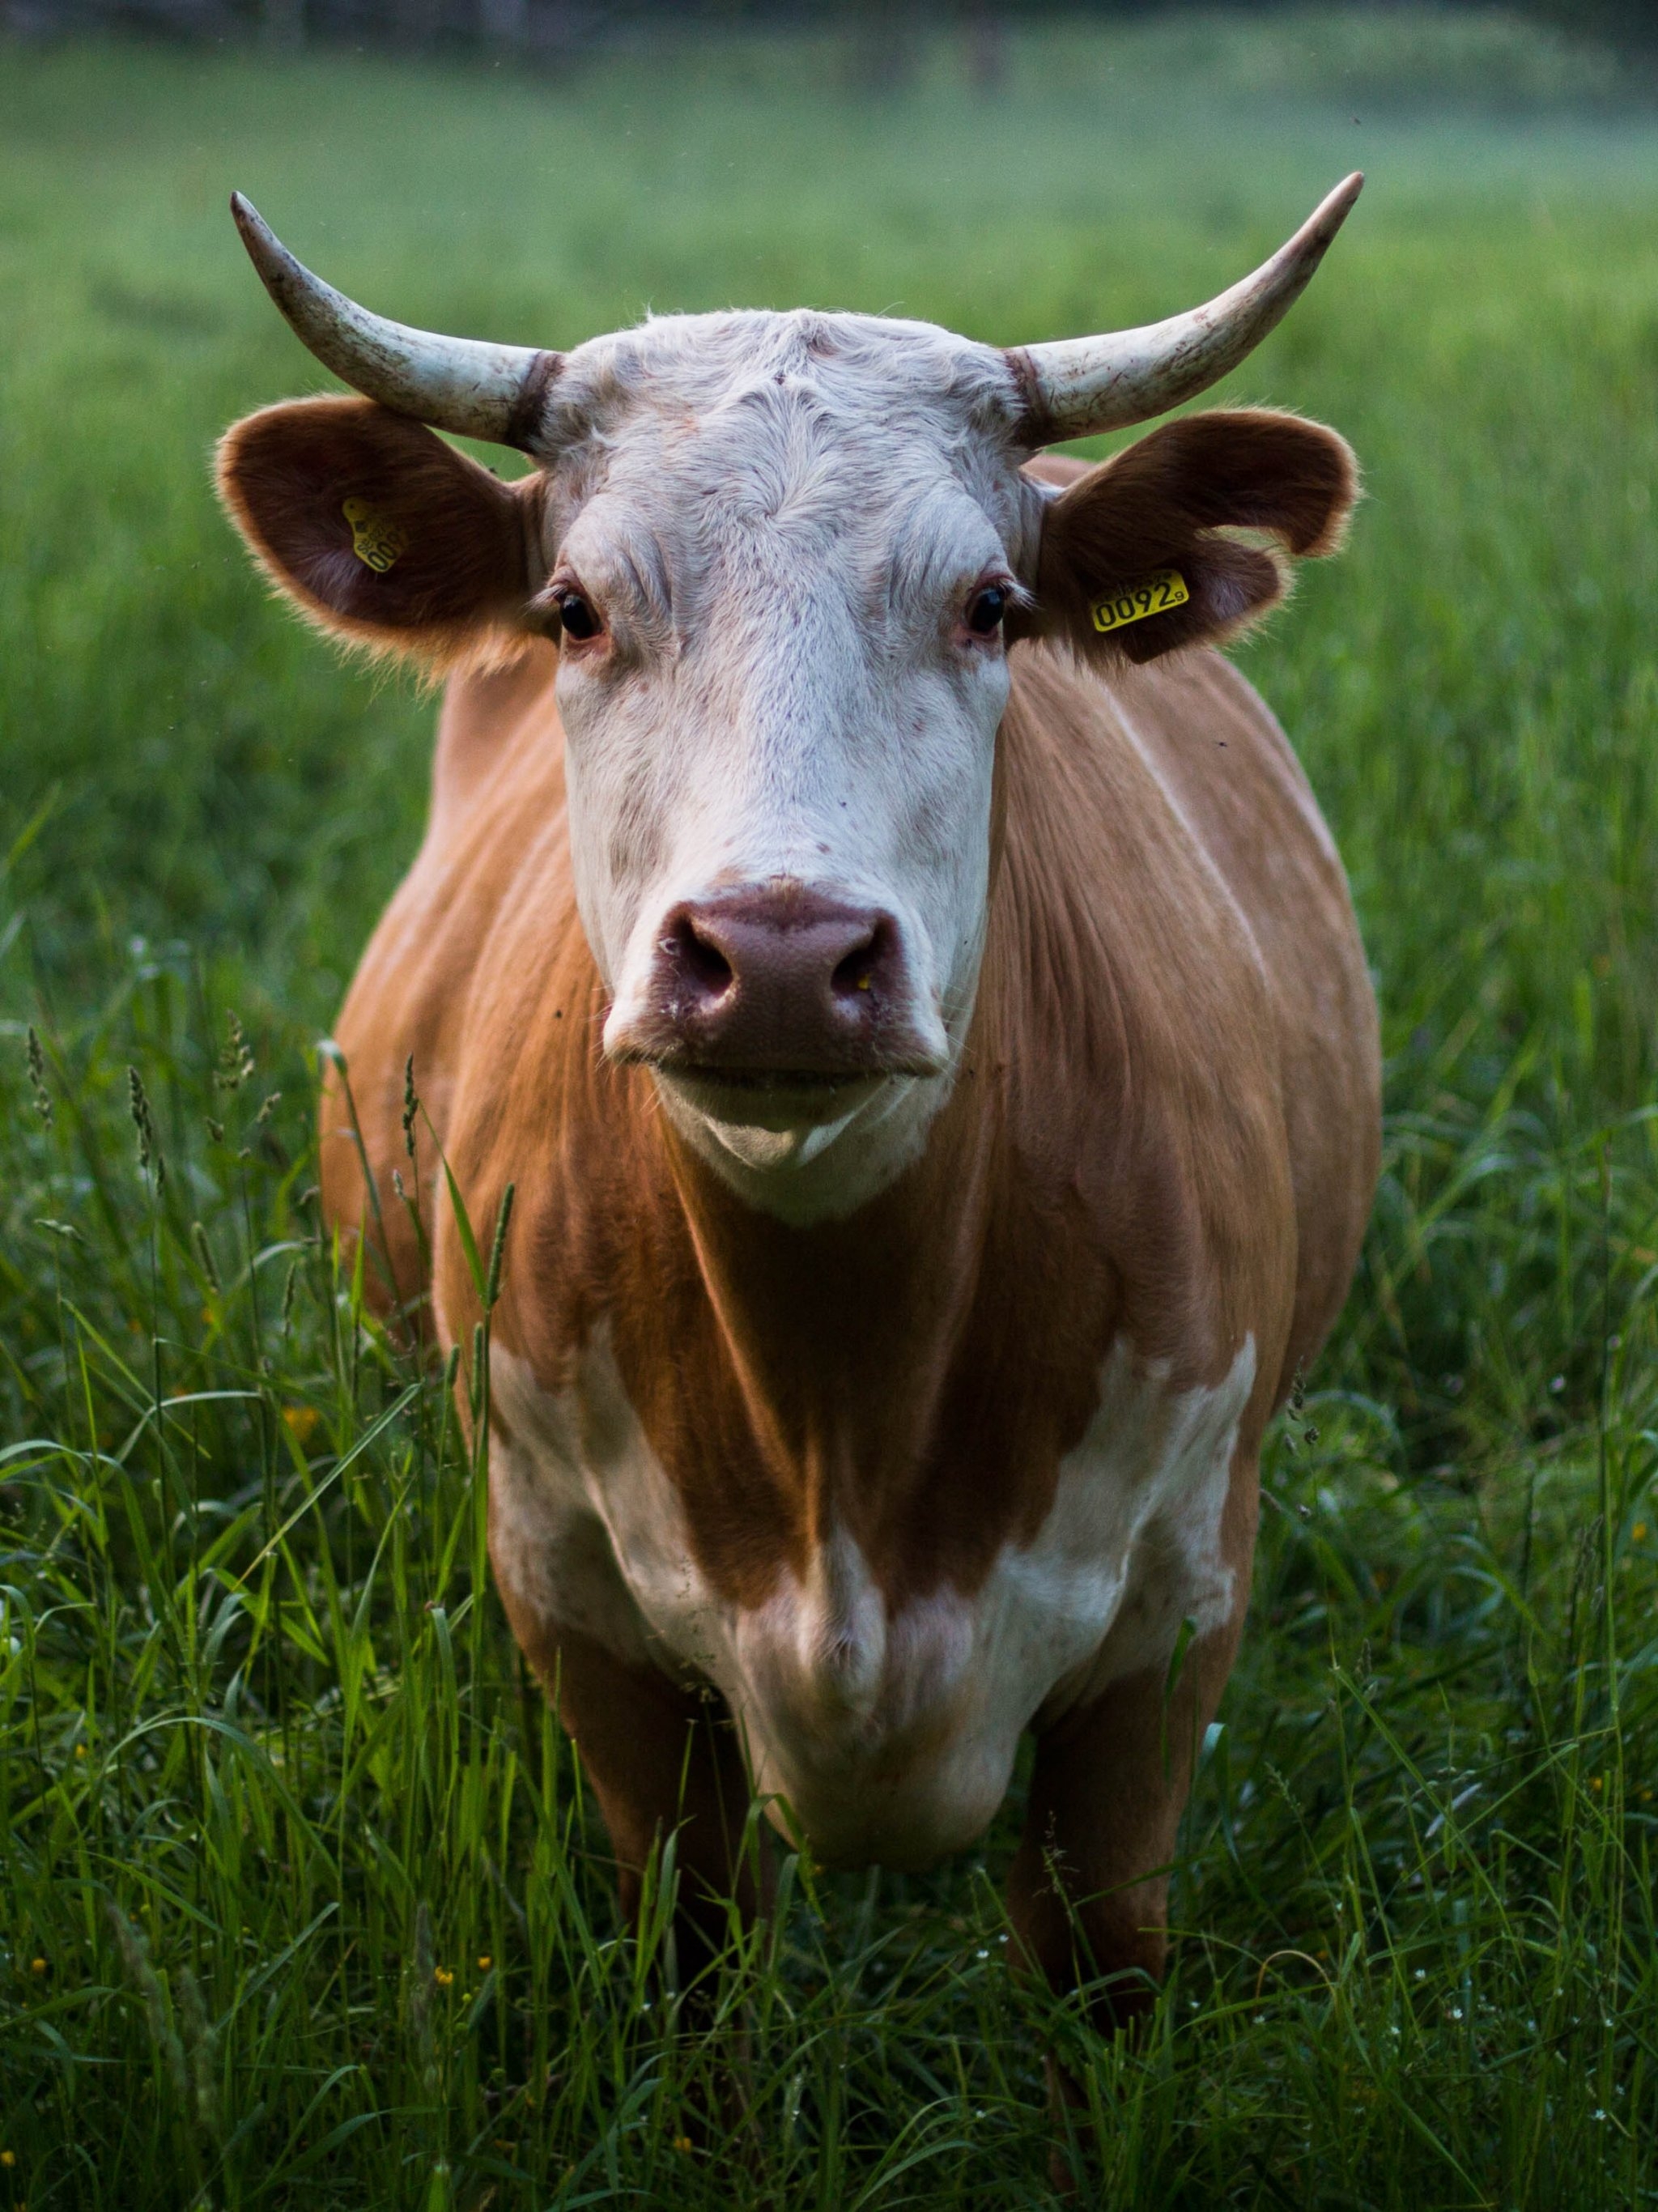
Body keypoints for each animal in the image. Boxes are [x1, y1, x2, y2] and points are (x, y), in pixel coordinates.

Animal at [217, 172, 1388, 2105]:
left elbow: (1102, 1975)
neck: (844, 1407)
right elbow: (695, 1969)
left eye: (991, 603)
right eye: (572, 608)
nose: (776, 955)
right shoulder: (578, 1612)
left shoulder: (1169, 1631)